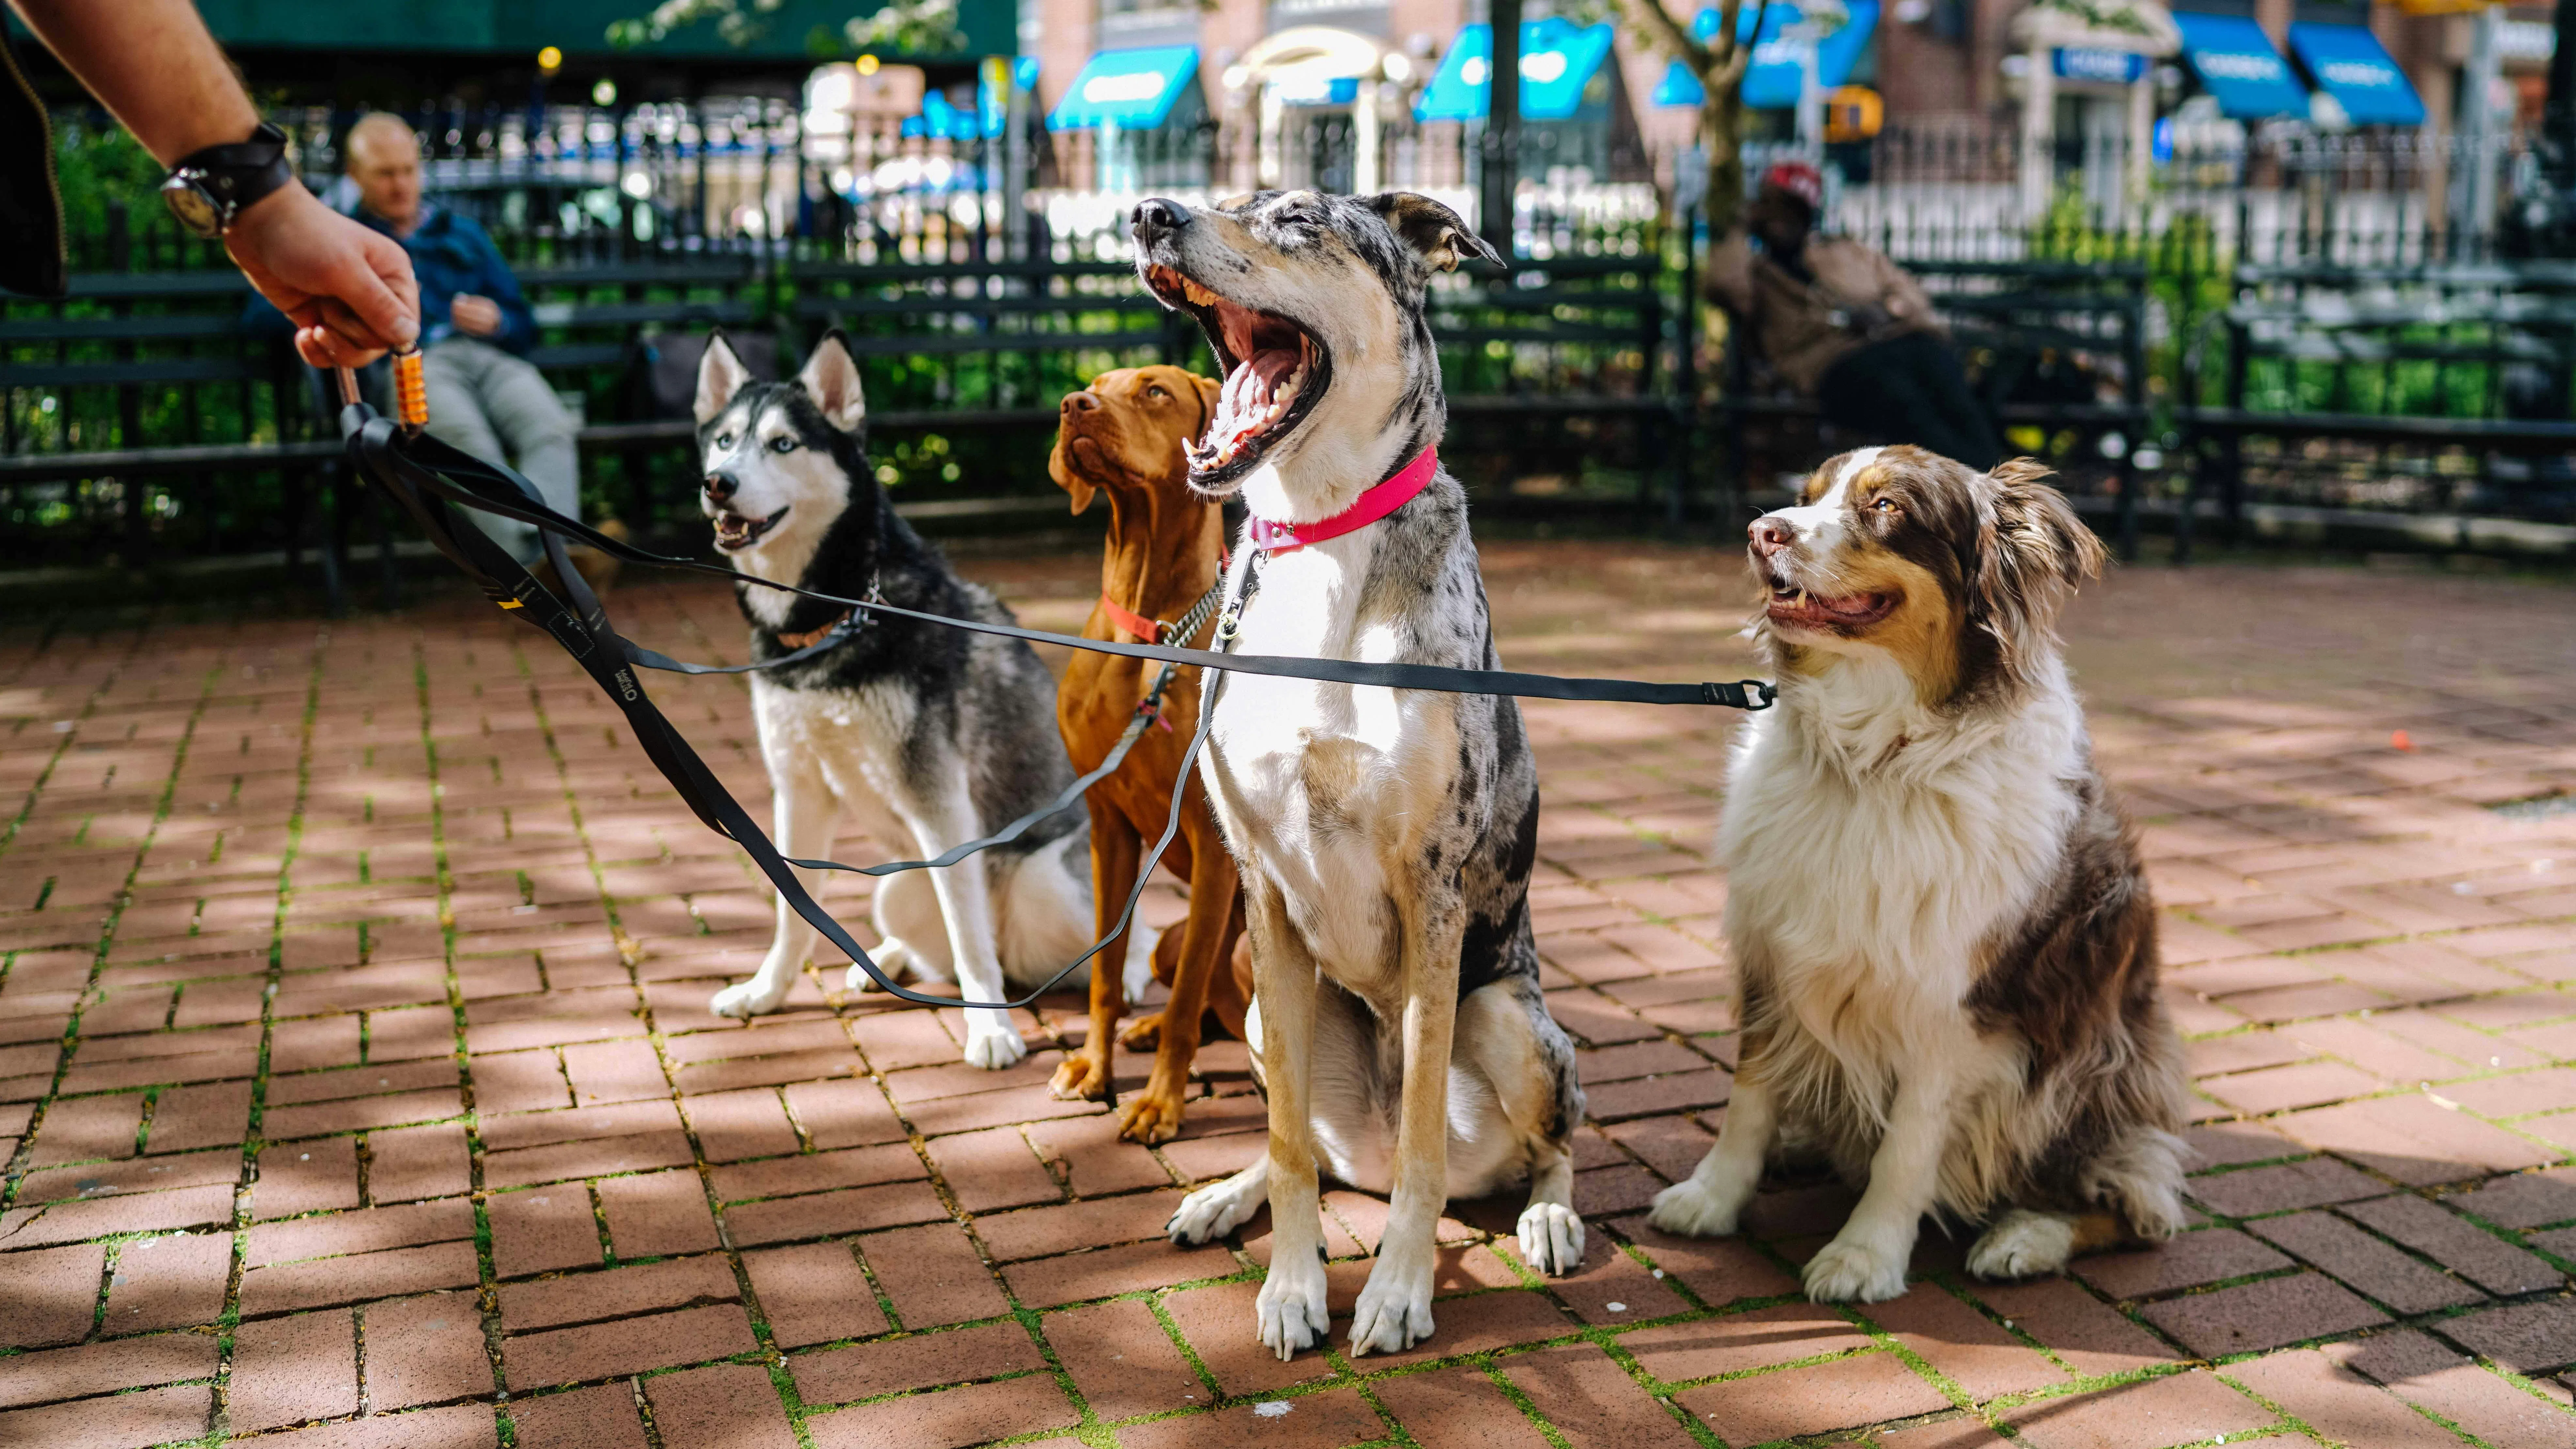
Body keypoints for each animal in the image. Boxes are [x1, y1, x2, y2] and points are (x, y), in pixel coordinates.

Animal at [690, 334, 1133, 1071]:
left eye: (783, 445)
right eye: (724, 441)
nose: (717, 483)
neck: (838, 615)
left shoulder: (939, 800)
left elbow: (967, 933)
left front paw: (991, 1031)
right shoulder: (798, 789)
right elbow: (791, 912)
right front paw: (767, 991)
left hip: (1042, 884)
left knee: (1111, 942)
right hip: (895, 887)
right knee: (942, 949)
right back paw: (889, 960)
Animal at [1041, 363, 1252, 1148]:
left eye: (1155, 390)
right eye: (1095, 385)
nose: (1073, 406)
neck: (1149, 632)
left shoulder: (1214, 844)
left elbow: (1190, 999)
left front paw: (1161, 1104)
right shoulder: (1108, 825)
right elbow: (1105, 972)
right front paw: (1093, 1067)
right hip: (1168, 936)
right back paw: (1146, 1029)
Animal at [1144, 190, 1587, 1359]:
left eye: (1299, 218)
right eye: (1225, 195)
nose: (1150, 212)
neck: (1319, 536)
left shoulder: (1431, 890)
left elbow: (1427, 1139)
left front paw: (1396, 1290)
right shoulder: (1261, 890)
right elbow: (1288, 1143)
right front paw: (1294, 1286)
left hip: (1512, 1021)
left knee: (1546, 1144)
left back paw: (1549, 1216)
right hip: (1263, 1010)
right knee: (1312, 1141)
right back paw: (1227, 1197)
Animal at [1648, 445, 2174, 1302]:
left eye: (1886, 506)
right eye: (1805, 495)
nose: (1762, 533)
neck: (1873, 760)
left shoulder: (1953, 1008)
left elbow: (1907, 1145)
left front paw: (1864, 1254)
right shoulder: (1770, 953)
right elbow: (1747, 1097)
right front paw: (1712, 1196)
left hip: (2091, 1066)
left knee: (2135, 1202)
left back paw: (2026, 1236)